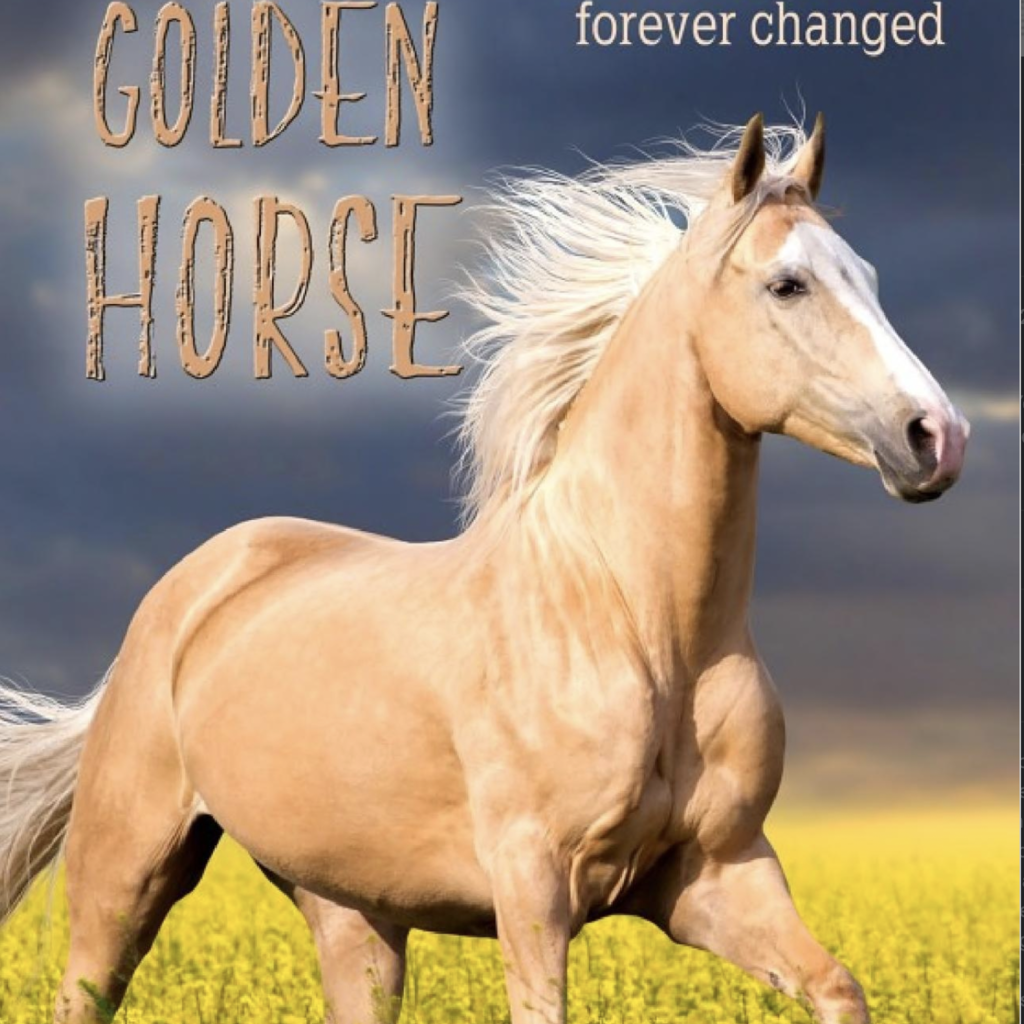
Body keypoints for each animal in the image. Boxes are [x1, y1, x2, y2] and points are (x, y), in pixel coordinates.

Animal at [0, 114, 968, 1024]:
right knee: (85, 987)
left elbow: (838, 987)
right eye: (786, 284)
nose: (937, 437)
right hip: (125, 874)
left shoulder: (718, 874)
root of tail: (186, 592)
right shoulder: (534, 884)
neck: (638, 624)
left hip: (353, 911)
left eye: (868, 276)